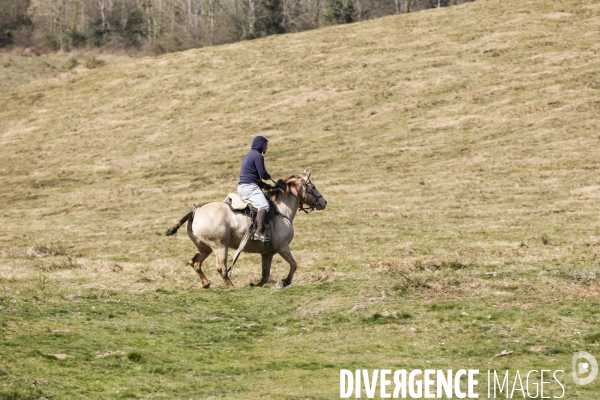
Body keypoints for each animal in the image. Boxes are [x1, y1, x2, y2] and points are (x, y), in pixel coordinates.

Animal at [165, 170, 328, 290]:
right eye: (313, 187)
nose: (324, 202)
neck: (281, 211)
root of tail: (196, 210)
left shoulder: (267, 253)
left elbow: (265, 274)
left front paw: (256, 285)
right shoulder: (282, 247)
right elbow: (293, 264)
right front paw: (284, 281)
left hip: (204, 248)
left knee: (195, 263)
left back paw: (206, 284)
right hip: (220, 246)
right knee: (221, 268)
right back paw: (231, 286)